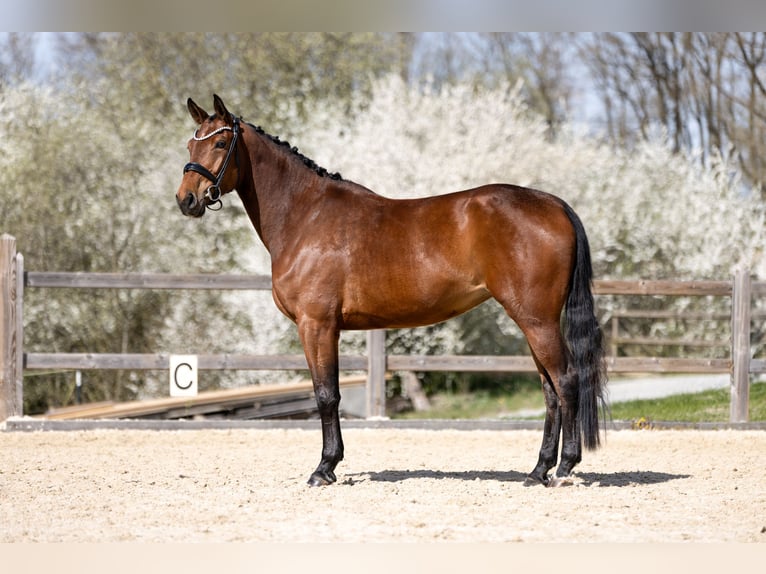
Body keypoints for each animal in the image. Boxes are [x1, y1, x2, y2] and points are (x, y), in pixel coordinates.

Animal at [176, 94, 607, 488]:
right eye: (190, 146)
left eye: (220, 143)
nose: (186, 200)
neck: (305, 215)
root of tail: (553, 205)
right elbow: (328, 393)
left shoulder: (316, 325)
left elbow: (326, 394)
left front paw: (324, 468)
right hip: (532, 321)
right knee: (549, 390)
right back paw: (537, 471)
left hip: (537, 319)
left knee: (566, 380)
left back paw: (565, 468)